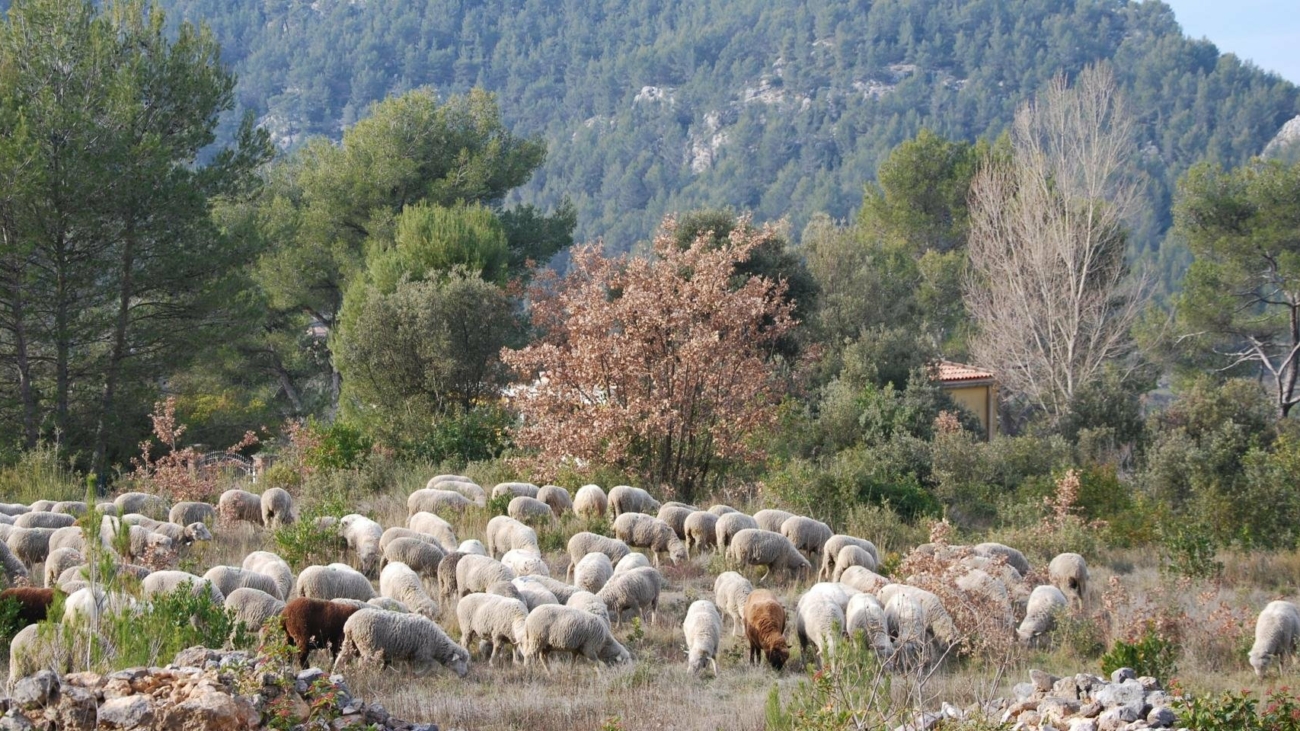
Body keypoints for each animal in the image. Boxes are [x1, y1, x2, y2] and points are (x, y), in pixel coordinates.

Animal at [335, 609, 470, 677]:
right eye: (460, 661)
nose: (465, 674)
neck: (436, 642)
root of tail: (350, 624)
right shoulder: (422, 653)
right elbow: (431, 665)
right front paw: (418, 674)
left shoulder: (410, 655)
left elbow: (409, 666)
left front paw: (410, 676)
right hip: (367, 645)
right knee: (363, 663)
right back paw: (363, 676)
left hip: (350, 642)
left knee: (340, 658)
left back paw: (335, 672)